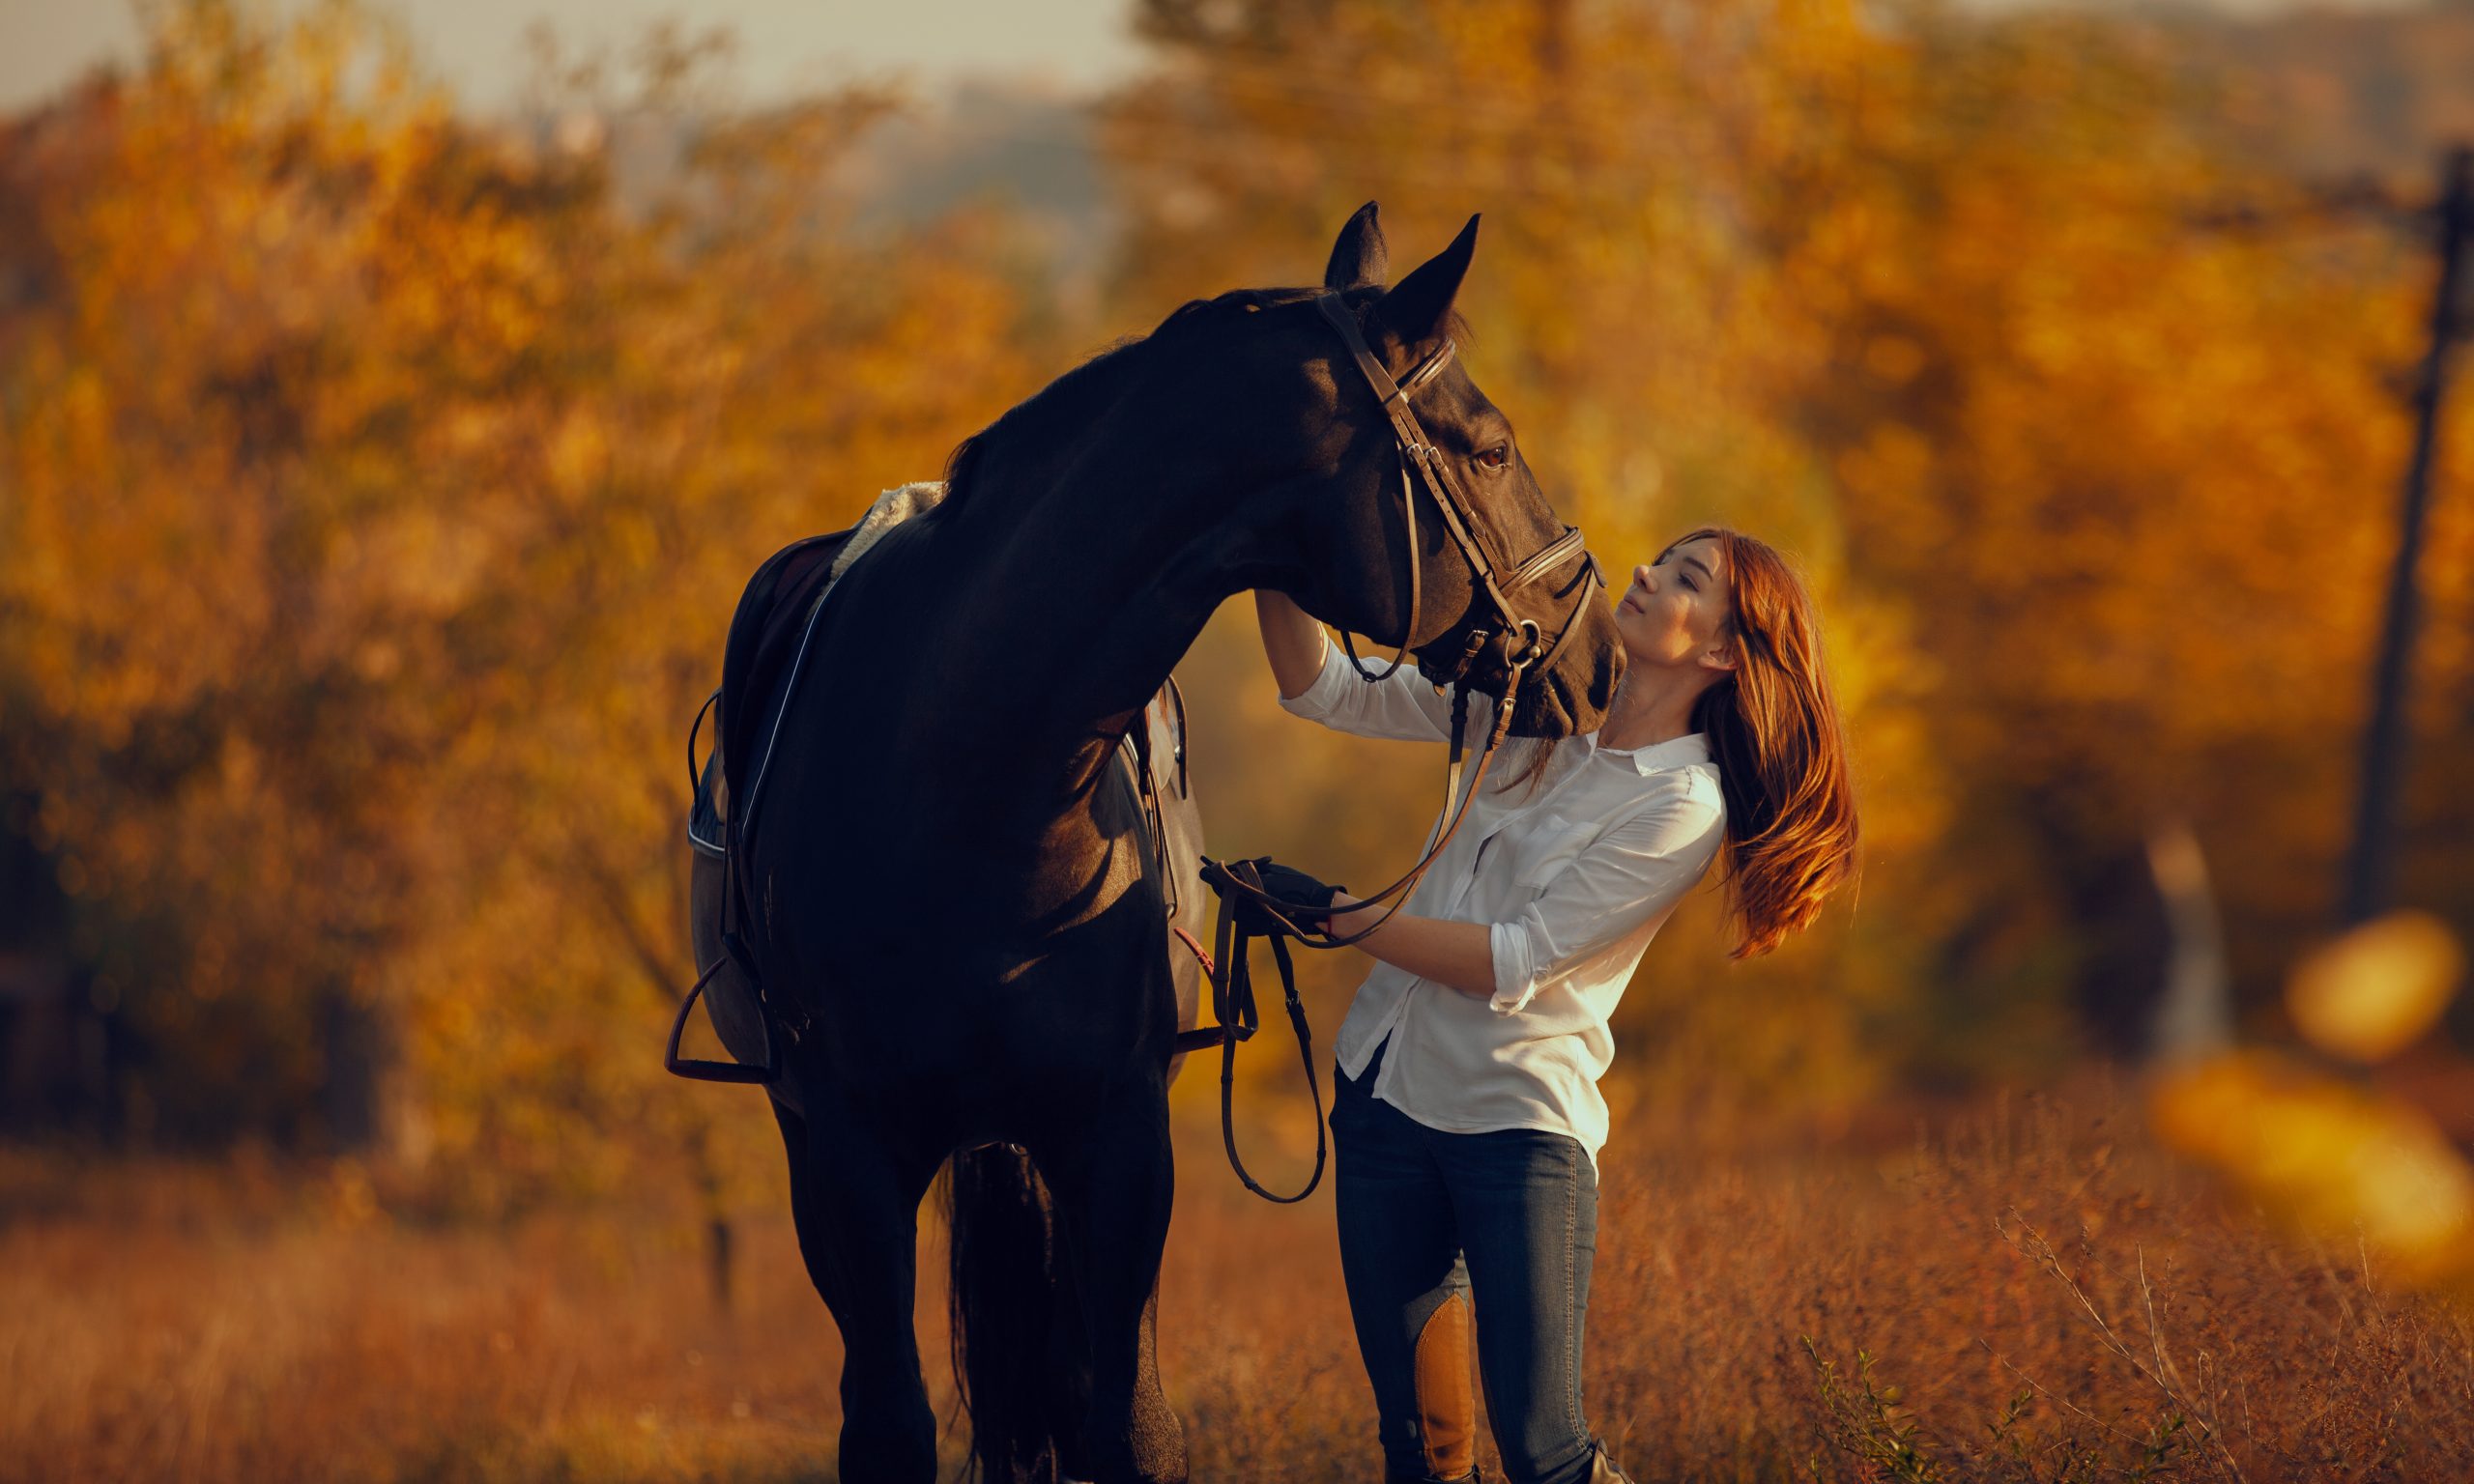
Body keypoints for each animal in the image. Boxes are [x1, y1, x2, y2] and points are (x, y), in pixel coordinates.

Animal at [691, 204, 1622, 1484]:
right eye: (1487, 448)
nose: (1597, 654)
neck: (964, 776)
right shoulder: (841, 1158)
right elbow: (890, 1428)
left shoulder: (1119, 1138)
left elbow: (1126, 1426)